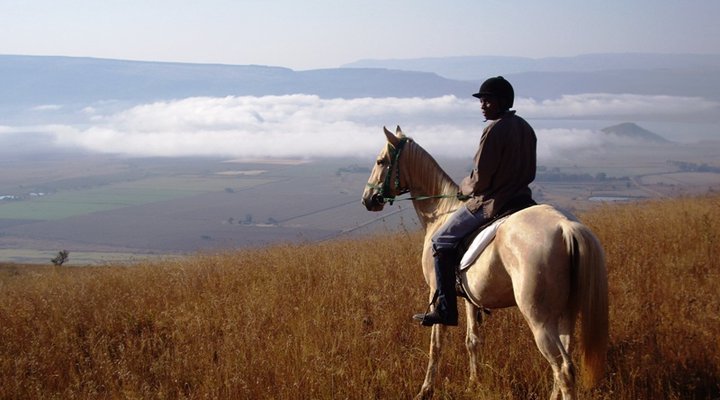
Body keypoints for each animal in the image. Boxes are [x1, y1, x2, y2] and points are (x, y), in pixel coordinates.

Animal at [361, 126, 608, 400]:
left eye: (380, 161)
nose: (368, 199)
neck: (441, 212)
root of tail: (566, 227)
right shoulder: (470, 297)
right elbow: (472, 340)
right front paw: (474, 382)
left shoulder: (437, 292)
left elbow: (436, 345)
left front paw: (425, 390)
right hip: (565, 313)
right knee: (563, 362)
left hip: (540, 319)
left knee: (562, 368)